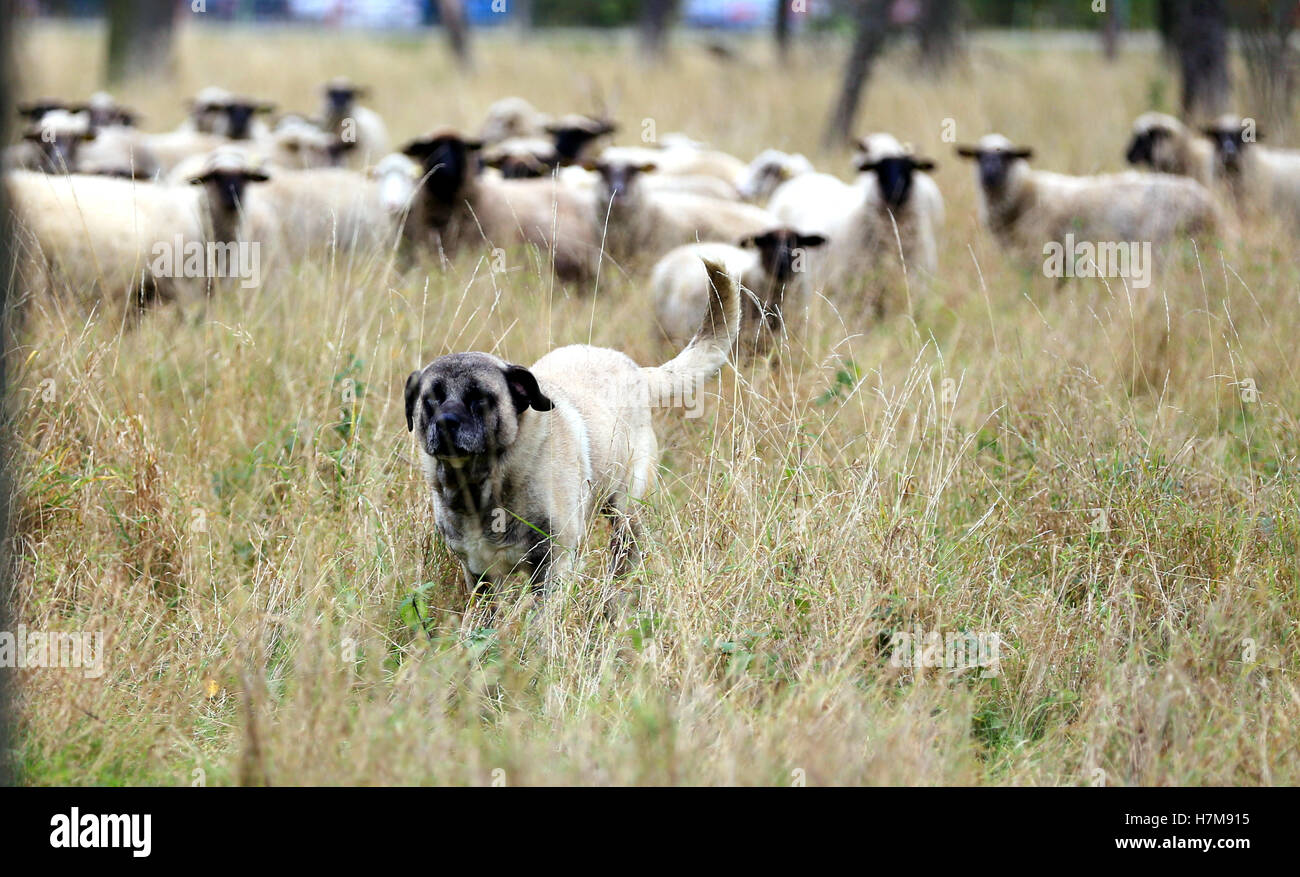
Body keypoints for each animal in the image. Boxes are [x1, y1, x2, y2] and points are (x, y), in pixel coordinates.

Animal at [405, 257, 738, 608]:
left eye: (479, 398)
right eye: (431, 400)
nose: (445, 422)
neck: (482, 485)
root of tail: (637, 371)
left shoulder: (553, 564)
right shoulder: (479, 575)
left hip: (626, 513)